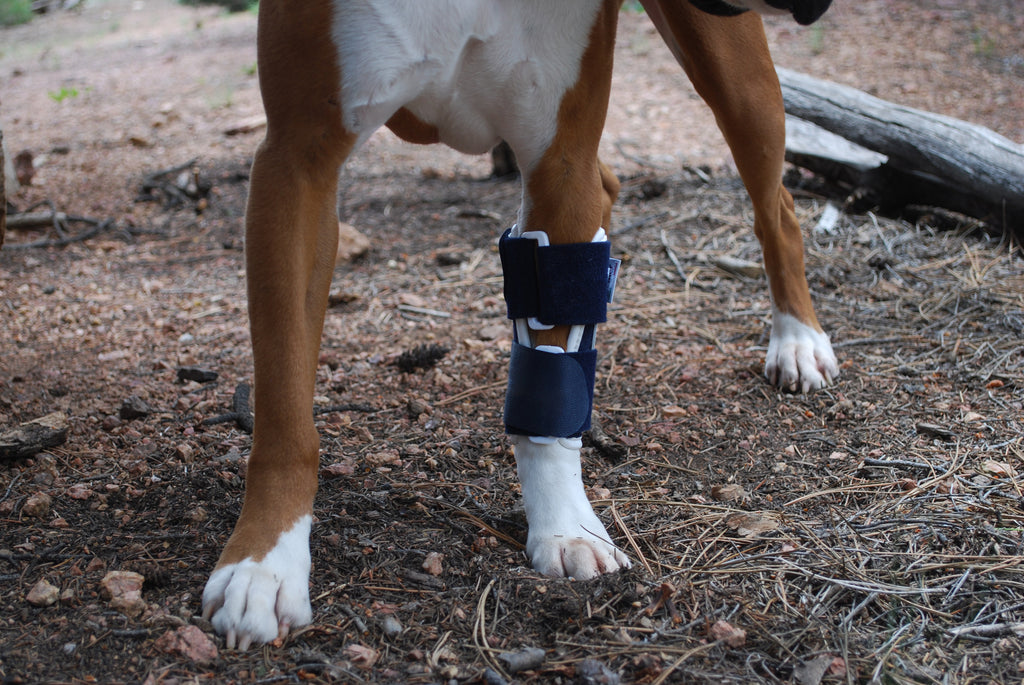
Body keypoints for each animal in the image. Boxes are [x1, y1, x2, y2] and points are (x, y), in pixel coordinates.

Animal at [201, 0, 839, 647]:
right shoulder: (298, 165)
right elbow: (285, 406)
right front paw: (266, 564)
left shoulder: (558, 166)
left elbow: (548, 389)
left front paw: (566, 527)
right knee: (617, 184)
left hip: (740, 85)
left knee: (778, 208)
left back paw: (797, 340)